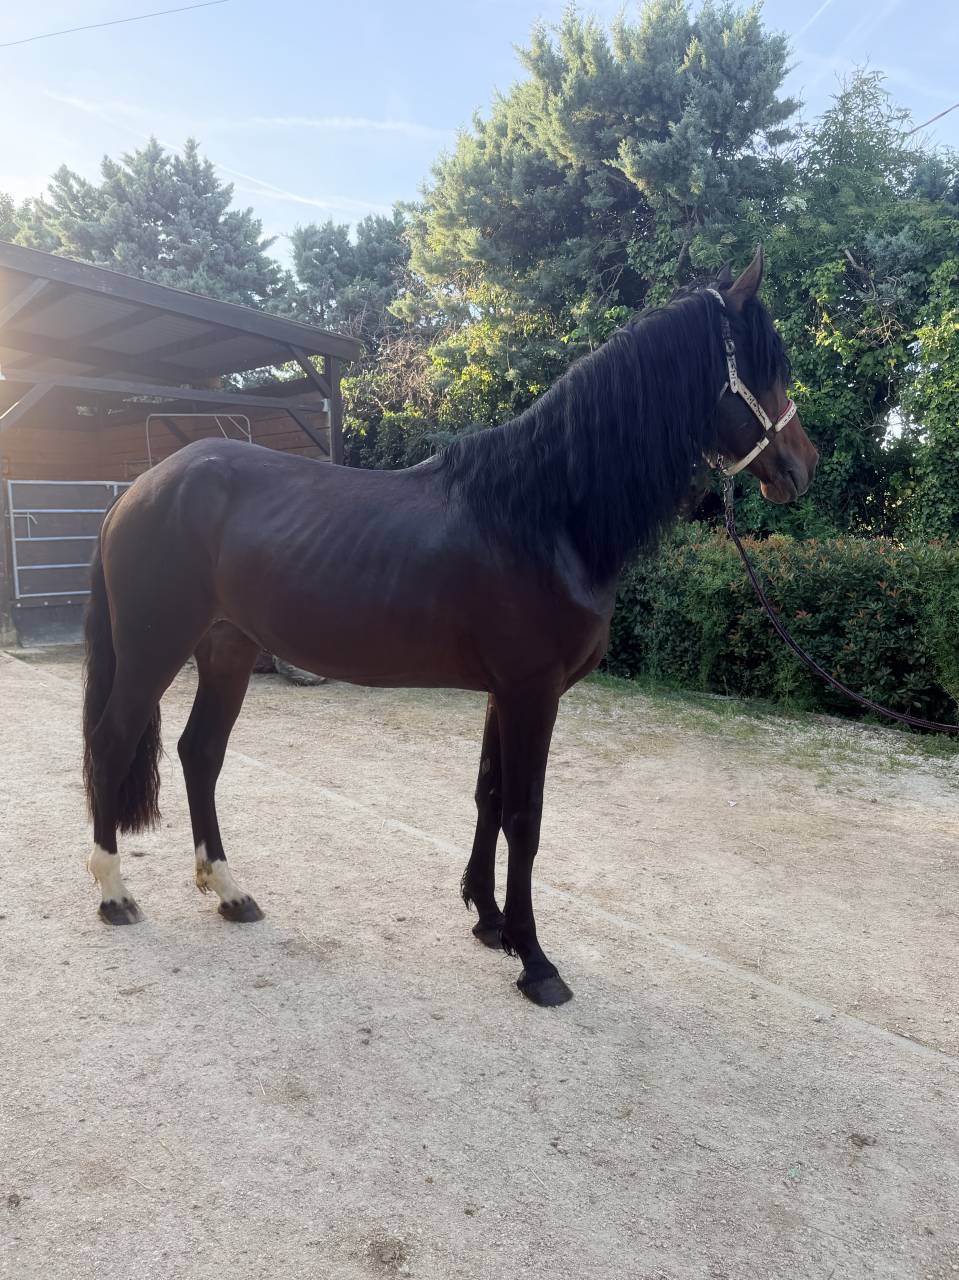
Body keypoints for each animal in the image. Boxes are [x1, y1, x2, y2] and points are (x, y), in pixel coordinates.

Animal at [82, 247, 818, 1007]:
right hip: (154, 648)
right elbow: (524, 814)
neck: (543, 515)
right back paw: (114, 895)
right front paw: (535, 960)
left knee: (200, 752)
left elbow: (487, 797)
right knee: (111, 742)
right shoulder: (531, 691)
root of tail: (137, 491)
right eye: (763, 365)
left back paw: (229, 892)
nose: (802, 466)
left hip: (226, 651)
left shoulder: (505, 691)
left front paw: (489, 923)